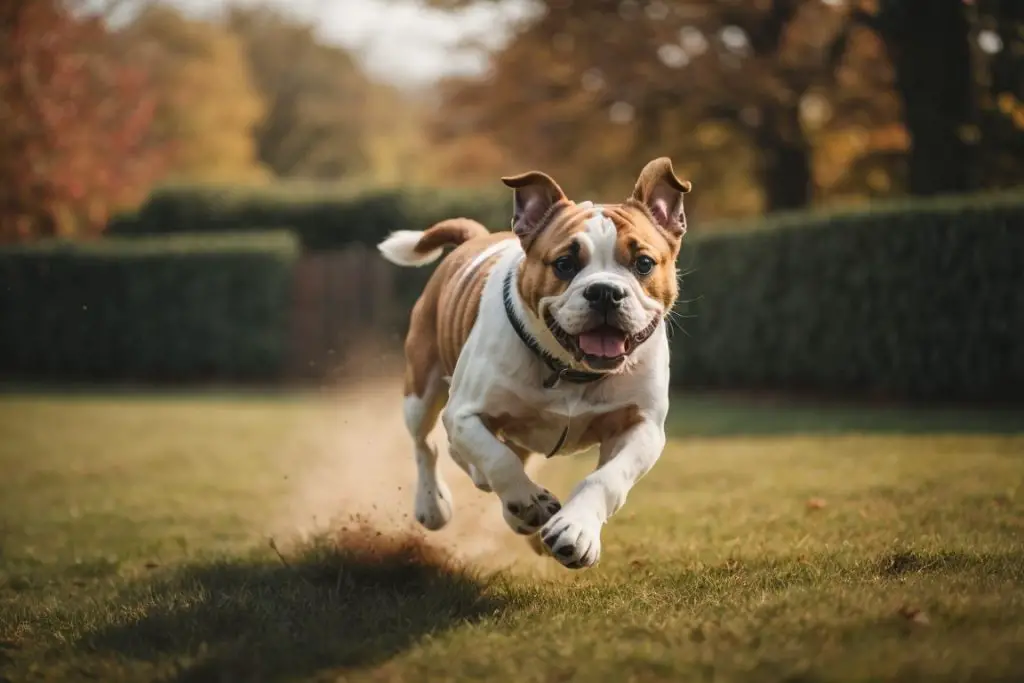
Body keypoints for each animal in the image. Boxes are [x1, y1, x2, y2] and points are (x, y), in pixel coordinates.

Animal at [378, 157, 696, 569]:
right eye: (564, 264)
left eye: (643, 263)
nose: (605, 291)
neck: (570, 370)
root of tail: (475, 237)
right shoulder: (464, 414)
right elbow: (498, 459)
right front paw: (528, 501)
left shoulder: (642, 426)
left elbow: (607, 478)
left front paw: (576, 530)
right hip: (420, 391)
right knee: (428, 446)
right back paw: (436, 505)